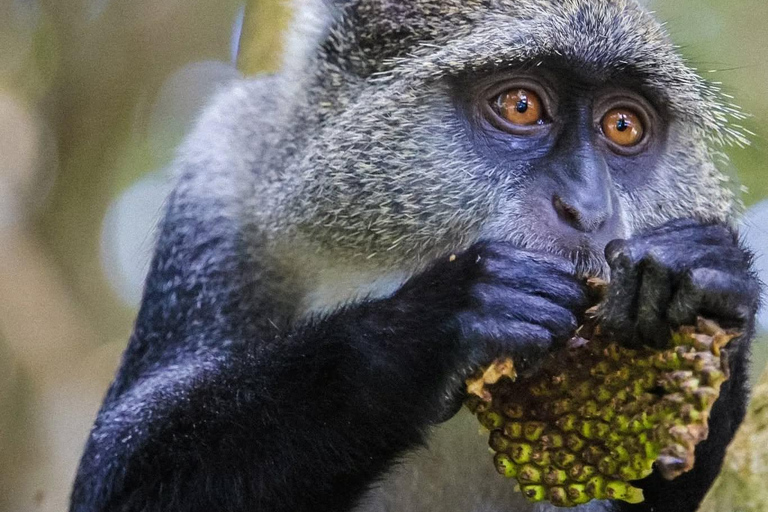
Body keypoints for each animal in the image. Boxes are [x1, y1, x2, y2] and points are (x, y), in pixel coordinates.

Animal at [70, 0, 761, 511]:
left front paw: (700, 278)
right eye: (520, 106)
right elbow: (113, 474)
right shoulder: (220, 175)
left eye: (622, 125)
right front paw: (435, 325)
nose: (587, 208)